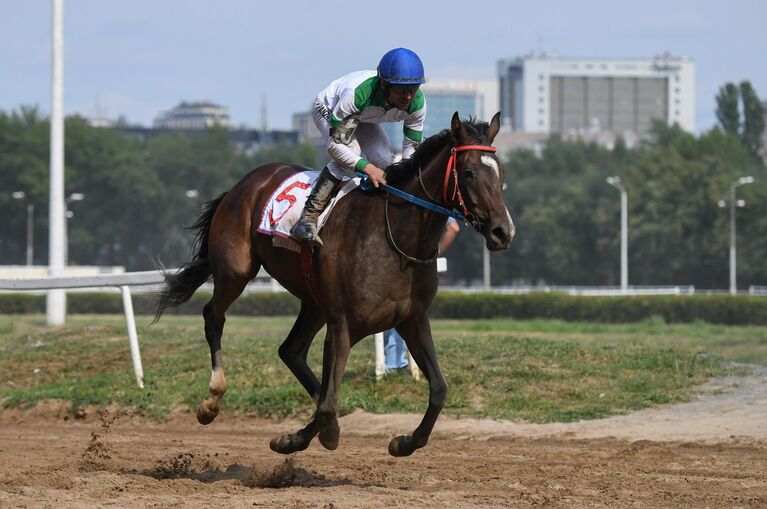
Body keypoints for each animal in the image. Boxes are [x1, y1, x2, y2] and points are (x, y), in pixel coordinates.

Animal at [154, 111, 516, 456]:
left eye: (500, 173)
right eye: (468, 172)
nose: (503, 231)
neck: (396, 236)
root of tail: (243, 183)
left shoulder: (411, 320)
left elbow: (439, 389)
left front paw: (403, 442)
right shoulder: (342, 324)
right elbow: (328, 404)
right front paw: (303, 437)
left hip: (313, 301)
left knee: (291, 350)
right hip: (235, 271)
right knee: (214, 317)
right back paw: (212, 400)